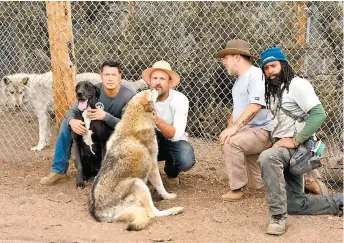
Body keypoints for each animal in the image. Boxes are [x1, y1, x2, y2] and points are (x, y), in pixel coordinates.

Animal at [1, 71, 146, 152]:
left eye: (21, 92)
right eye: (12, 92)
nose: (17, 106)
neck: (31, 90)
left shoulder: (41, 114)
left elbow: (42, 133)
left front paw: (39, 146)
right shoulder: (47, 115)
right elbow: (46, 133)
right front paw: (46, 144)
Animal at [90, 89, 184, 232]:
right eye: (150, 90)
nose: (156, 88)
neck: (135, 119)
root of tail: (98, 213)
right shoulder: (153, 165)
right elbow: (160, 185)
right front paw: (167, 196)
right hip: (138, 183)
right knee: (153, 213)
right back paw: (176, 209)